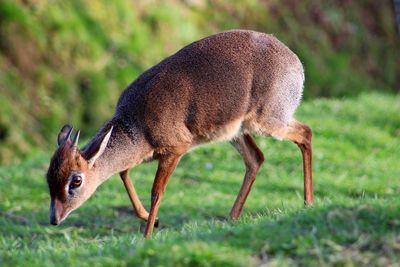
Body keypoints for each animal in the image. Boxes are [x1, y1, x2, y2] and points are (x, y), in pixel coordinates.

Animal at [47, 29, 312, 239]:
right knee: (256, 158)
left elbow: (156, 192)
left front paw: (147, 236)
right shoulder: (146, 155)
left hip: (268, 120)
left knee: (305, 133)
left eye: (76, 180)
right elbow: (124, 172)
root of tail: (297, 63)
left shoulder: (175, 149)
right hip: (236, 132)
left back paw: (308, 202)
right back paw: (232, 218)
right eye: (48, 177)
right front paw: (152, 220)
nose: (54, 218)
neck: (138, 125)